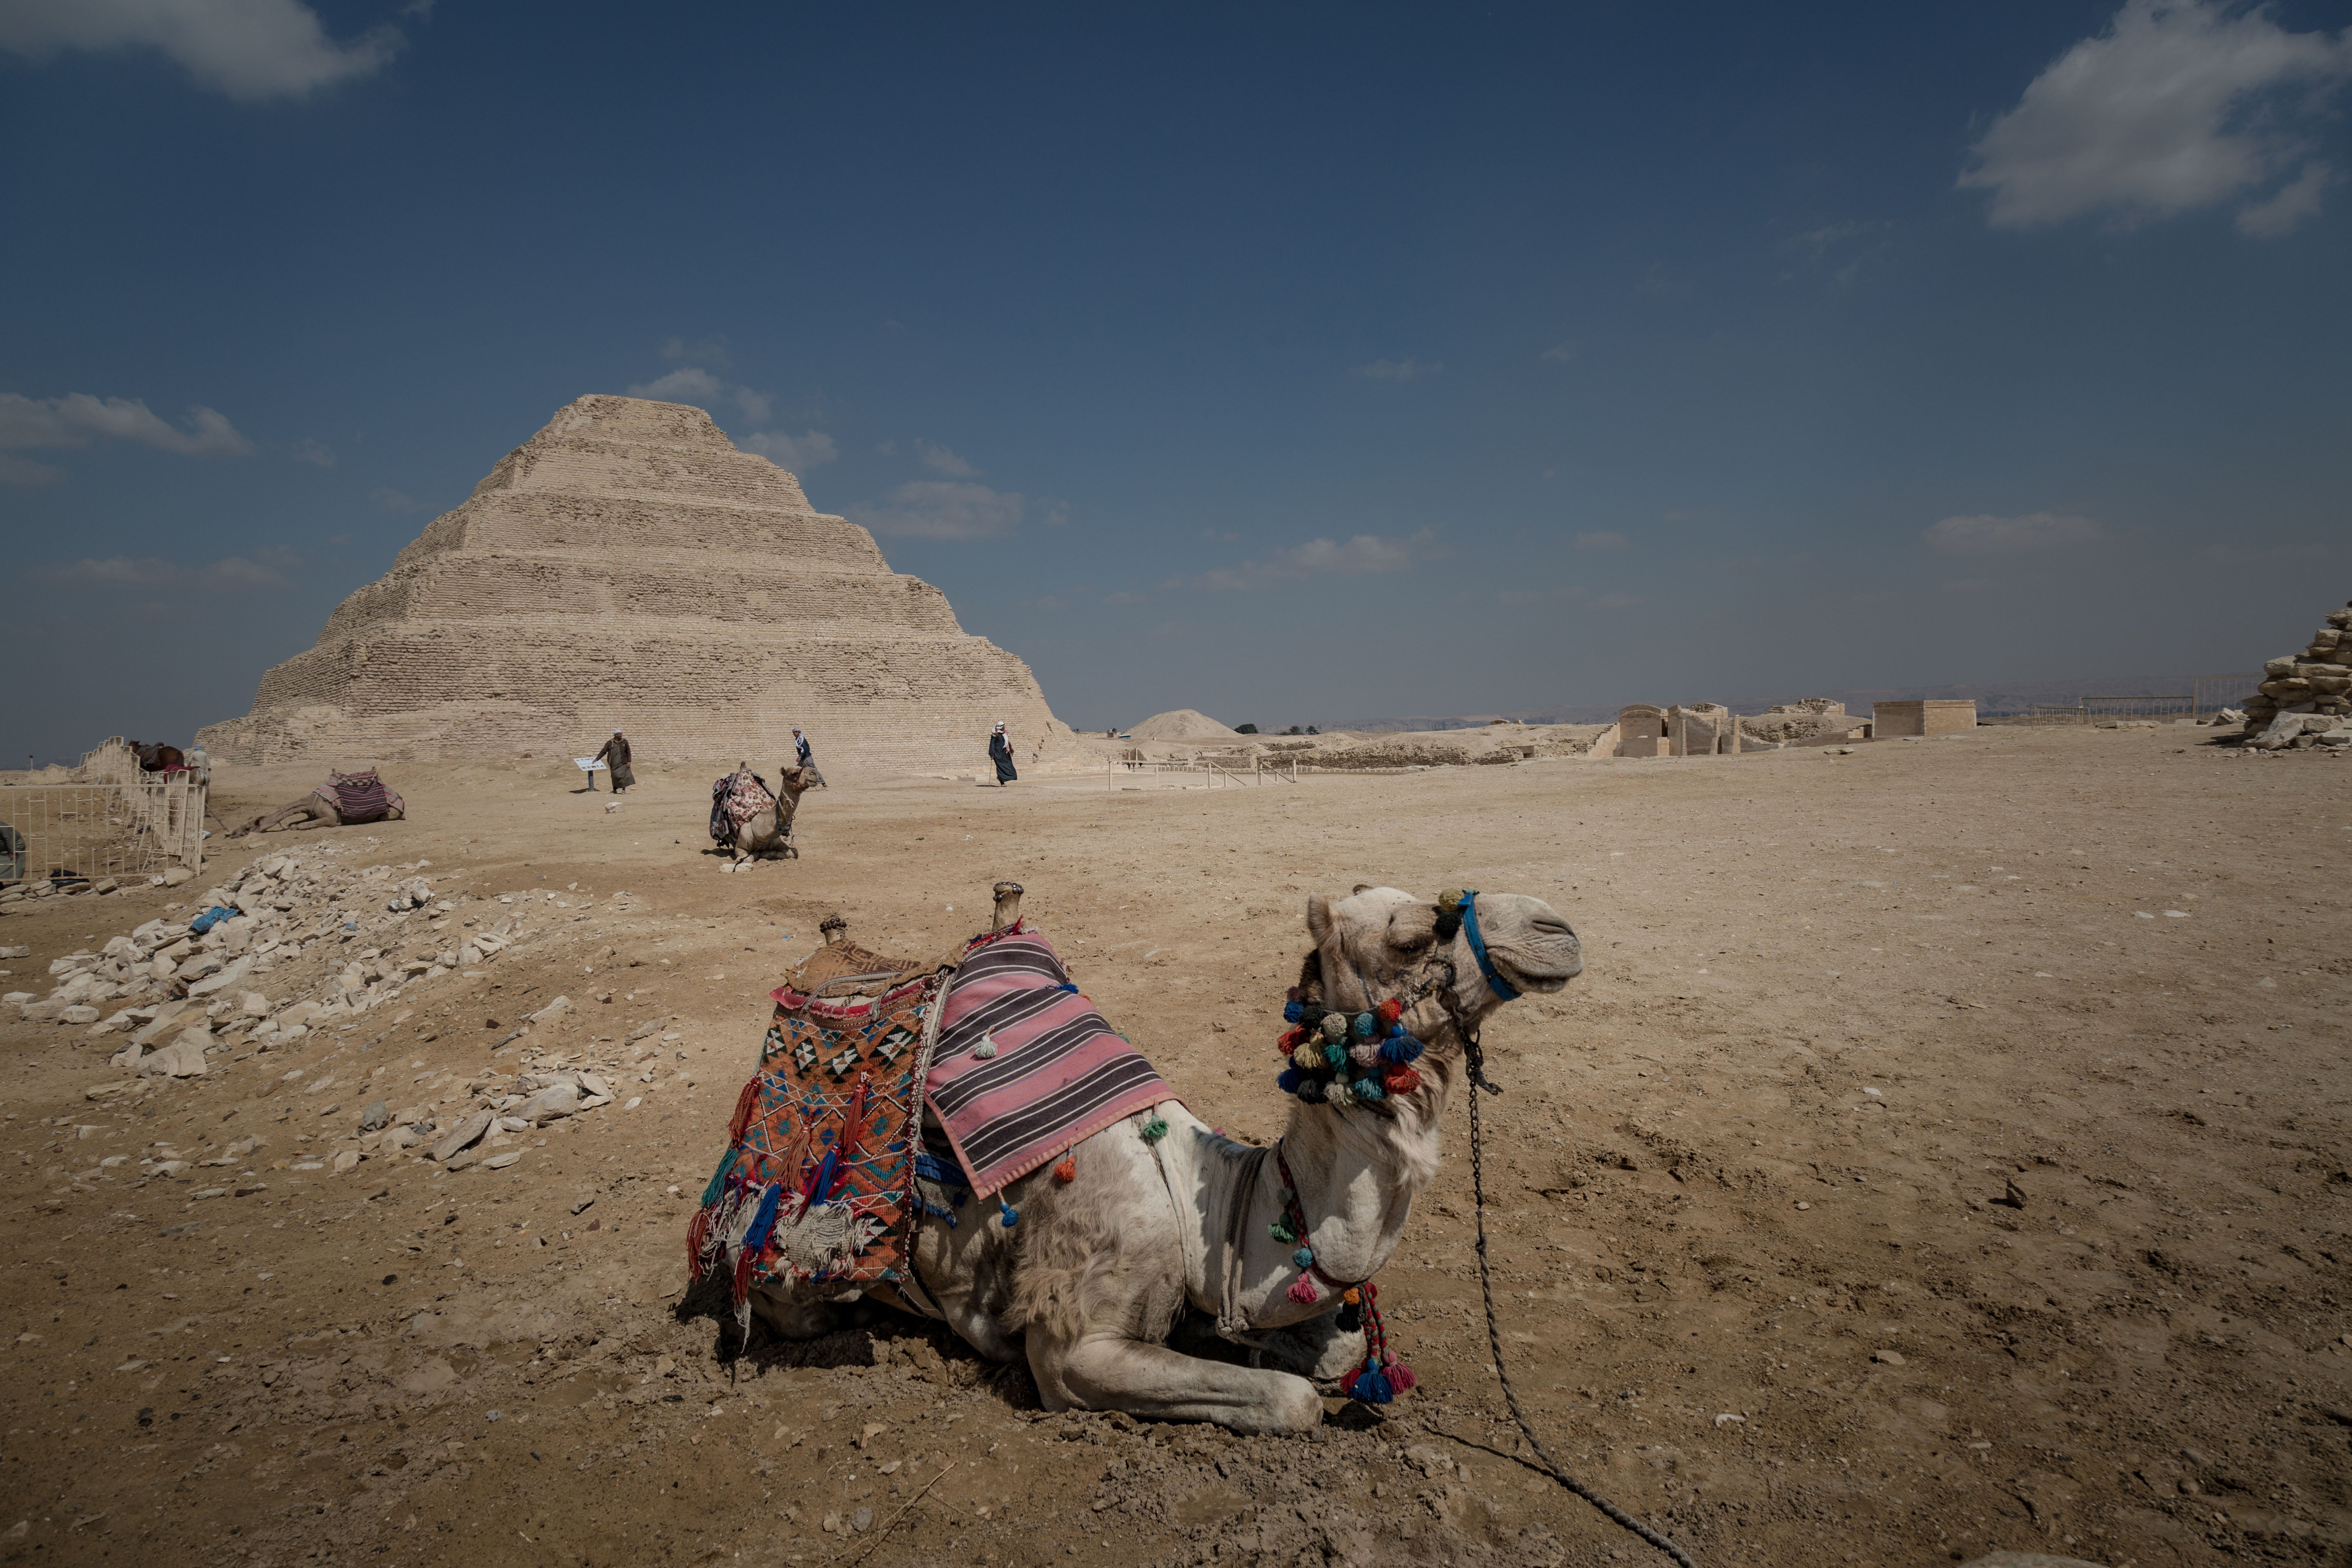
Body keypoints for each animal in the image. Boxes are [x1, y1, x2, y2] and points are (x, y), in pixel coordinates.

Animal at [757, 884, 1580, 1439]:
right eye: (1411, 939)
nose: (1558, 928)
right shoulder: (1072, 1347)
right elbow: (1293, 1400)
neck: (1207, 1204)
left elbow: (1342, 1349)